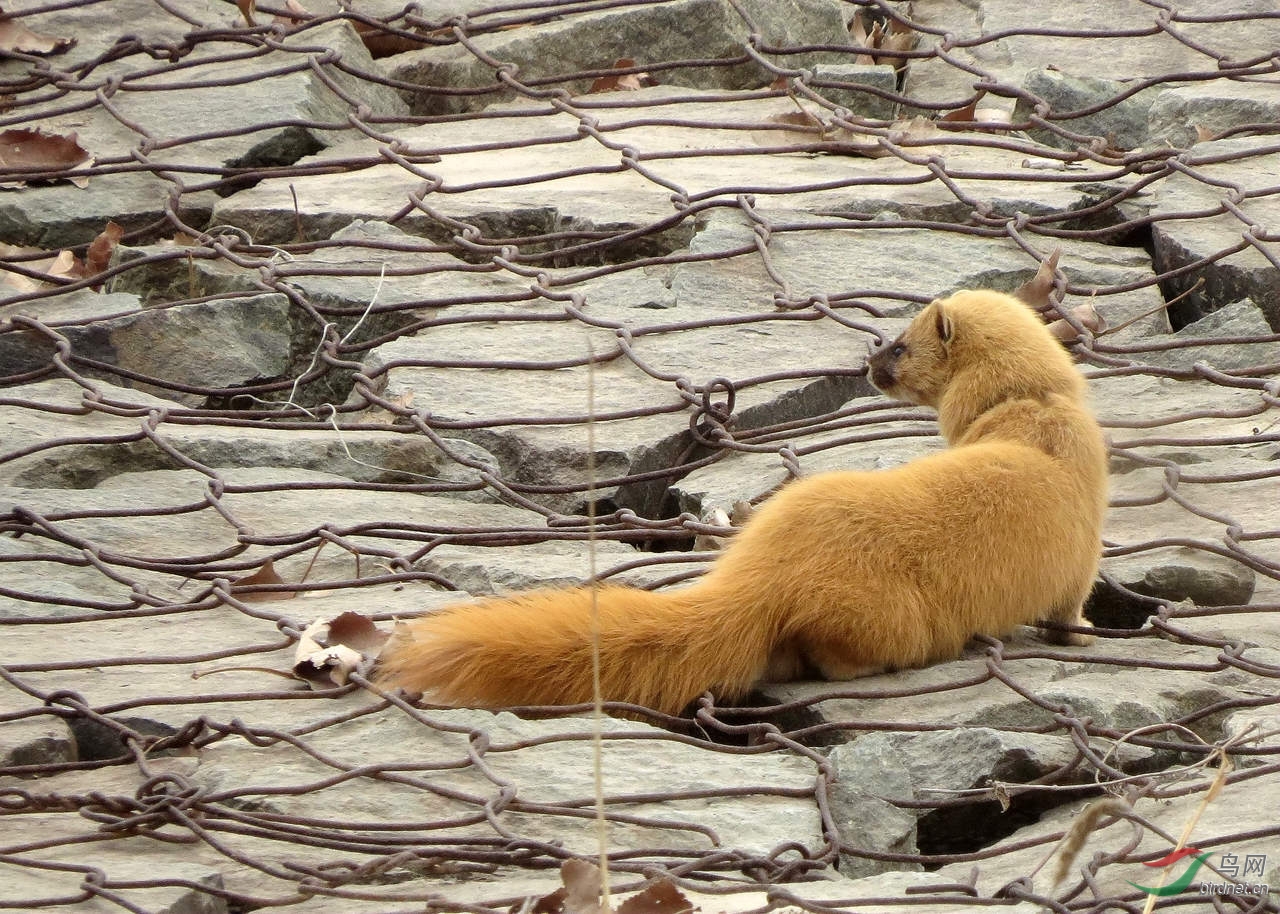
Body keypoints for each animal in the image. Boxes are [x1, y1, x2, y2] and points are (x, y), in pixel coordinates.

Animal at [373, 288, 1111, 716]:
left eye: (899, 344)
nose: (867, 364)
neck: (1033, 411)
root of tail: (759, 568)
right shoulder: (1083, 550)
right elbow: (1070, 603)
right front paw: (1084, 632)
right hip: (883, 614)